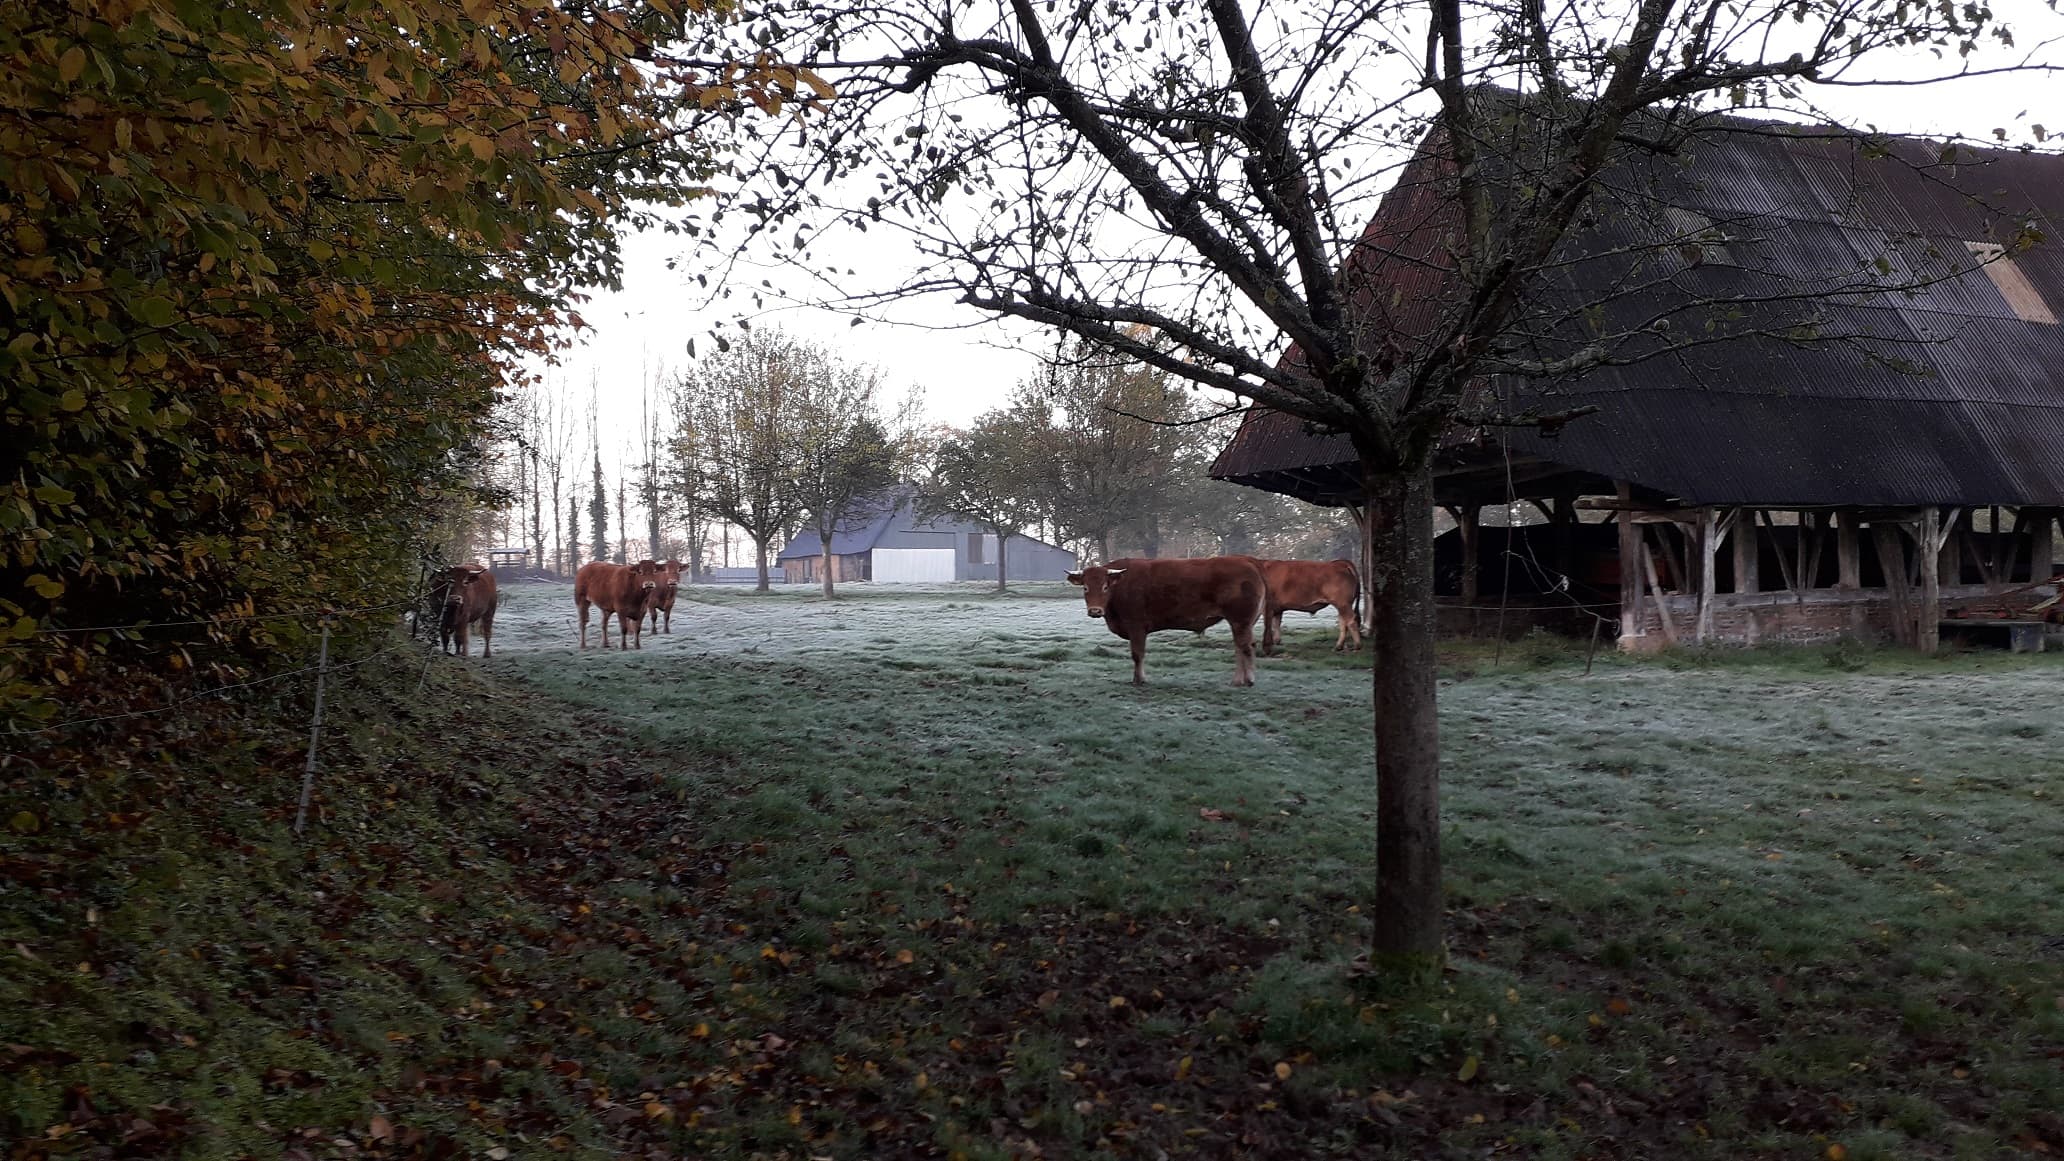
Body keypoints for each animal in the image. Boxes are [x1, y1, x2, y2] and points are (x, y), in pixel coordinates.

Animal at [1073, 553, 1263, 681]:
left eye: (1105, 587)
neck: (1120, 584)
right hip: (1241, 623)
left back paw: (1248, 680)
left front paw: (1139, 679)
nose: (1095, 611)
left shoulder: (1136, 626)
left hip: (1240, 621)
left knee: (1245, 647)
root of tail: (1246, 560)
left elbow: (1137, 654)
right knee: (1241, 647)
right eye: (1085, 587)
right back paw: (1238, 680)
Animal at [1230, 557, 1362, 656]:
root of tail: (1339, 563)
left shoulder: (1266, 607)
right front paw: (1277, 641)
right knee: (1343, 623)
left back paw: (1357, 646)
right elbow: (1276, 623)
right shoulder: (1276, 608)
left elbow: (1266, 626)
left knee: (1351, 621)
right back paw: (1338, 646)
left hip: (1343, 604)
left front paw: (1266, 648)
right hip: (1342, 605)